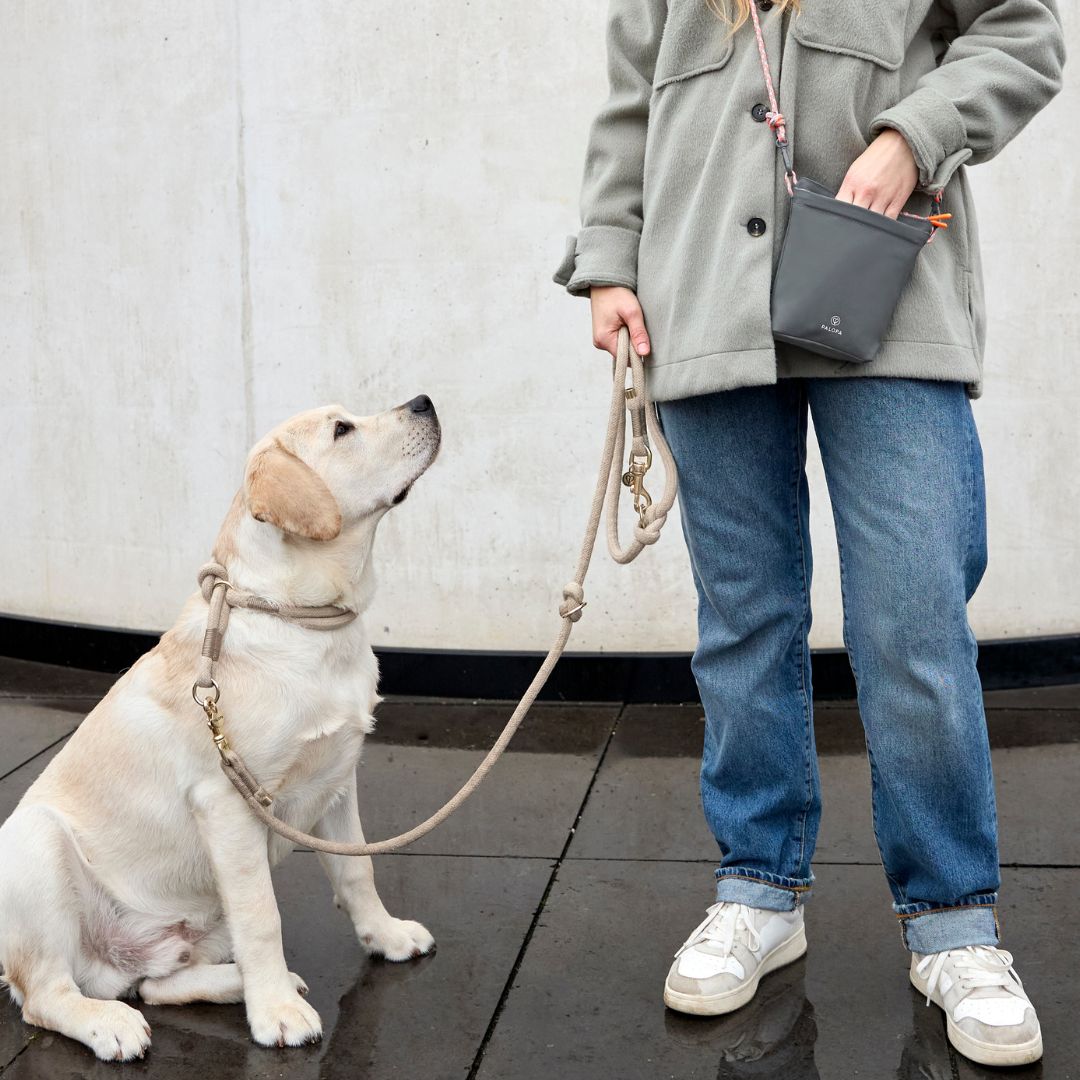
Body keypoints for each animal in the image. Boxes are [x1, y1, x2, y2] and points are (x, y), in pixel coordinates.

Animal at [0, 395, 440, 1054]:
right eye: (342, 430)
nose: (424, 402)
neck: (300, 621)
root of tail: (112, 963)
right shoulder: (227, 803)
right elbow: (263, 915)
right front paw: (277, 1014)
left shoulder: (338, 780)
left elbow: (356, 868)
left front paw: (384, 936)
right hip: (33, 844)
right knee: (46, 996)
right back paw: (113, 1024)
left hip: (191, 924)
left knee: (155, 985)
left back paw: (237, 983)